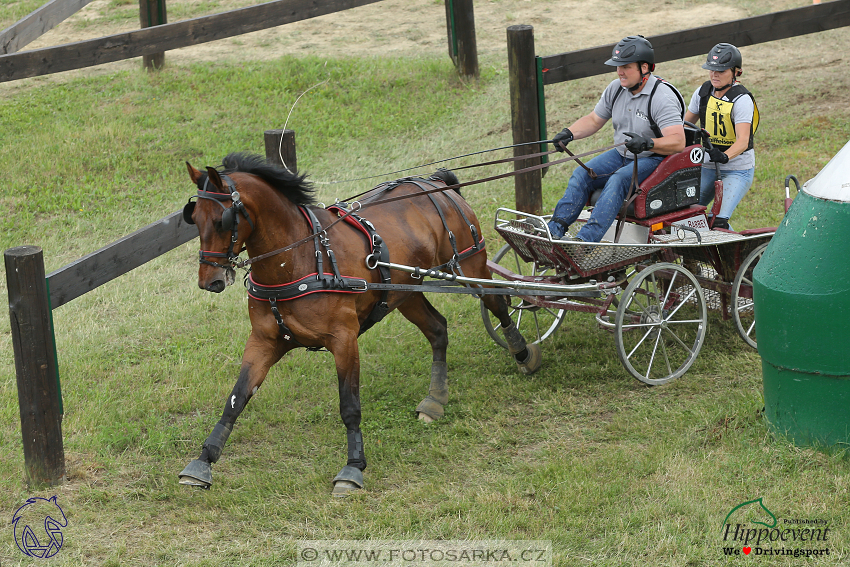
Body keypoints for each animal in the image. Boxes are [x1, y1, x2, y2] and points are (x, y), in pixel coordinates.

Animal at [177, 153, 544, 494]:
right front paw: (203, 460)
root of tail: (437, 182)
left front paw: (353, 467)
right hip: (406, 293)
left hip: (469, 265)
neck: (299, 258)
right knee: (438, 329)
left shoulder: (344, 339)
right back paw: (435, 398)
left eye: (222, 220)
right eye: (193, 219)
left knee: (497, 302)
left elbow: (349, 406)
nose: (209, 281)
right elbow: (236, 399)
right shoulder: (265, 341)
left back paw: (523, 353)